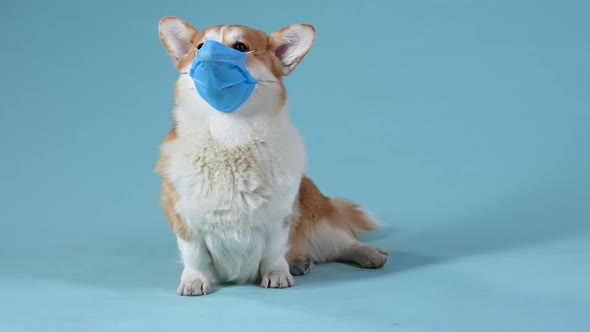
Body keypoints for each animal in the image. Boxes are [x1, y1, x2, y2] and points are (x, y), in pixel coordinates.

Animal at [155, 16, 390, 296]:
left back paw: (368, 254)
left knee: (346, 242)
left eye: (241, 47)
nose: (207, 54)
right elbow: (195, 256)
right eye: (199, 47)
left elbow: (273, 253)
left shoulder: (278, 221)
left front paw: (277, 275)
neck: (229, 136)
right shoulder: (186, 221)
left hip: (322, 222)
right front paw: (193, 280)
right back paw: (300, 261)